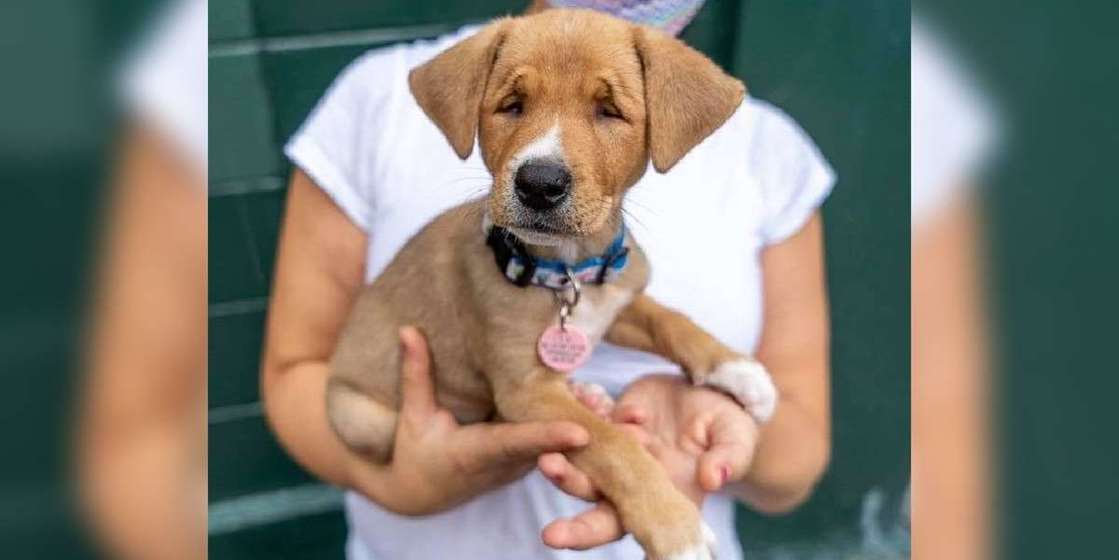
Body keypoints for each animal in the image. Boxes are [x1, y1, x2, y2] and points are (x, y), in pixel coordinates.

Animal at [326, 8, 774, 560]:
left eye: (609, 111)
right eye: (511, 105)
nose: (539, 183)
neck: (567, 272)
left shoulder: (616, 302)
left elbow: (669, 319)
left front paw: (736, 369)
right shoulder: (526, 389)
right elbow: (613, 445)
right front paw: (676, 527)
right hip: (360, 418)